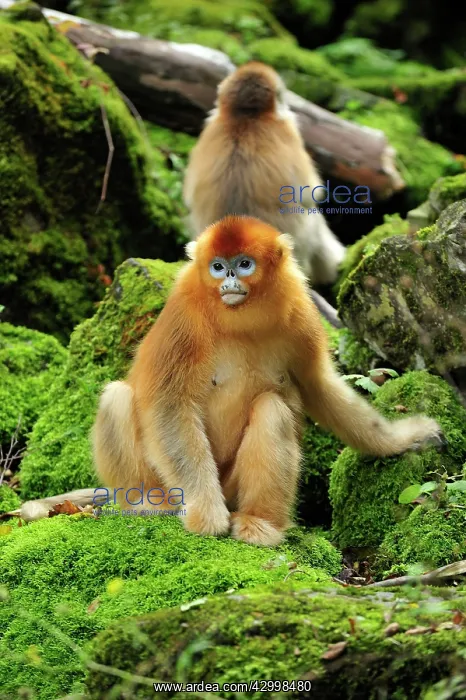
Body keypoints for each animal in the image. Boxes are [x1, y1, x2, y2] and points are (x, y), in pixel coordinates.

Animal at [92, 216, 444, 547]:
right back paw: (147, 501)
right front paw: (206, 512)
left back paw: (261, 523)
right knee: (116, 397)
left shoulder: (301, 312)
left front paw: (401, 440)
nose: (229, 278)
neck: (240, 320)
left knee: (272, 409)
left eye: (244, 264)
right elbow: (169, 406)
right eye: (217, 267)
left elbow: (320, 387)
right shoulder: (183, 315)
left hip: (231, 487)